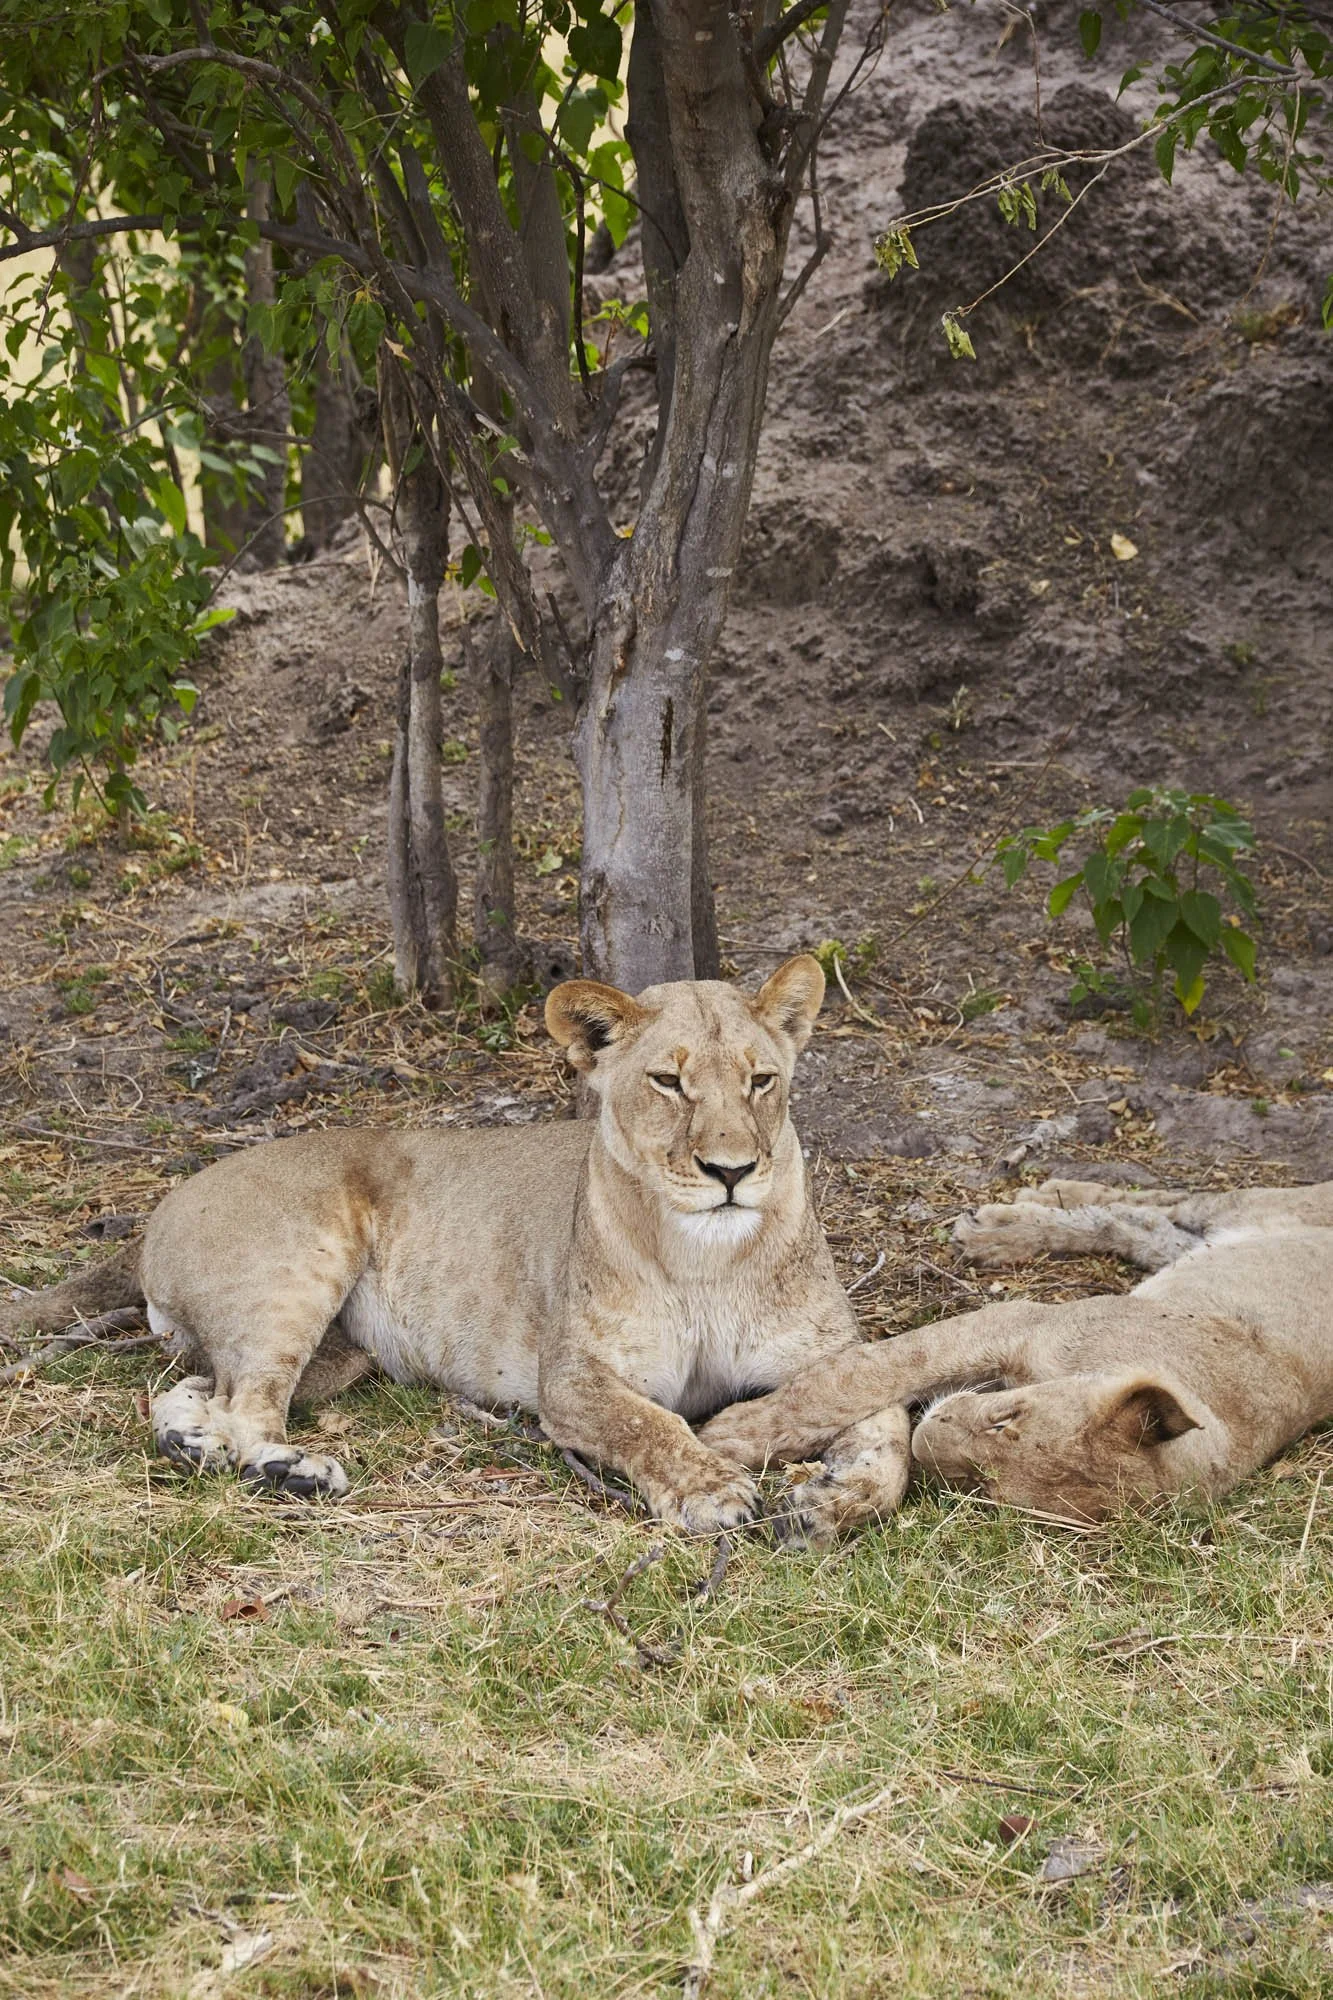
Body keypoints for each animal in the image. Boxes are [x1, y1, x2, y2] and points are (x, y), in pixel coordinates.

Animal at [0, 957, 862, 1531]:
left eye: (759, 1080)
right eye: (667, 1082)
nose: (731, 1171)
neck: (706, 1257)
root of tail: (160, 1206)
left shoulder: (822, 1352)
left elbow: (852, 1400)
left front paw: (847, 1487)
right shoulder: (572, 1379)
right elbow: (651, 1425)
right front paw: (710, 1490)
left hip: (338, 1358)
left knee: (198, 1391)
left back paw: (197, 1447)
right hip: (294, 1276)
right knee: (247, 1406)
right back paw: (293, 1472)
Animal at [698, 1177, 1333, 1537]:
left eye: (984, 1487)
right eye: (1007, 1420)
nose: (929, 1440)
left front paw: (824, 1505)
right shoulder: (1022, 1319)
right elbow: (853, 1376)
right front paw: (729, 1436)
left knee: (1142, 1224)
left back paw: (1009, 1224)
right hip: (1261, 1202)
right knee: (1167, 1200)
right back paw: (1014, 1215)